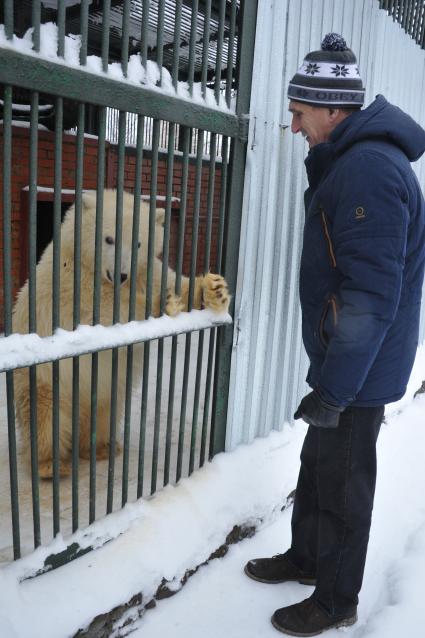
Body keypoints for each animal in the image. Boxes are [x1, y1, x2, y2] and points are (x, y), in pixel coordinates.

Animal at [13, 190, 230, 480]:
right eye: (109, 238)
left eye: (138, 243)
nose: (121, 274)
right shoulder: (69, 284)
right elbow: (96, 314)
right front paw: (163, 303)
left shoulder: (147, 271)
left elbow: (177, 284)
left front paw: (214, 289)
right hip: (45, 378)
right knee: (44, 415)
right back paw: (50, 465)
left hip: (110, 388)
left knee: (105, 412)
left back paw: (103, 447)